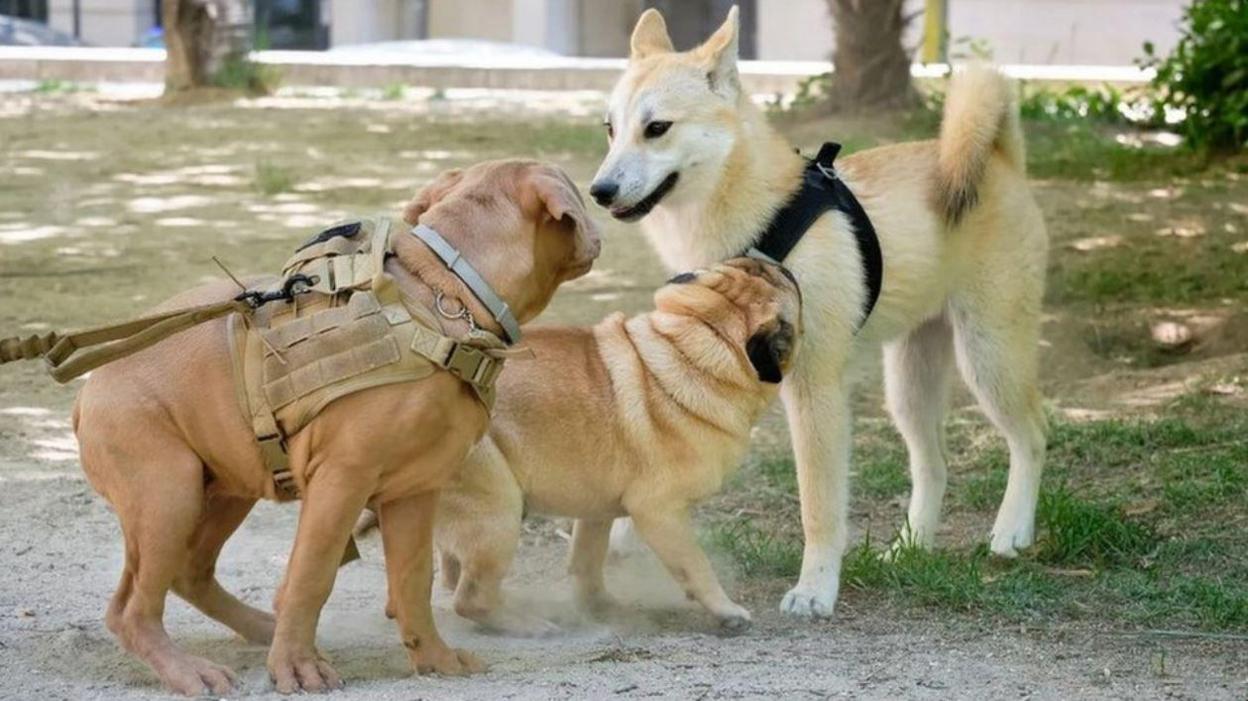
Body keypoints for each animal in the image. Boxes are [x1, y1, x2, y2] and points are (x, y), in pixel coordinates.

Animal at [70, 159, 601, 693]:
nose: (601, 201)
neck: (447, 292)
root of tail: (86, 394)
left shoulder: (414, 490)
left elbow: (413, 580)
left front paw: (434, 658)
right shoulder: (342, 481)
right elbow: (312, 576)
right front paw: (297, 666)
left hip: (224, 490)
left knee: (188, 573)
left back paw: (260, 627)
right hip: (168, 496)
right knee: (133, 609)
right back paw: (189, 670)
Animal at [419, 256, 798, 633]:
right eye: (788, 281)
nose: (774, 260)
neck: (695, 344)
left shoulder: (596, 512)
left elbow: (587, 563)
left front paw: (600, 606)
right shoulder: (661, 513)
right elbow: (695, 565)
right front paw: (726, 610)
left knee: (452, 574)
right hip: (498, 512)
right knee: (471, 598)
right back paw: (530, 624)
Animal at [589, 6, 1048, 616]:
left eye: (657, 128)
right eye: (610, 129)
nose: (599, 189)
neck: (758, 220)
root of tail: (1000, 161)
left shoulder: (814, 387)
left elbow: (819, 506)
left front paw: (815, 588)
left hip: (989, 357)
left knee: (1032, 436)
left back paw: (1011, 533)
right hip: (911, 385)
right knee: (934, 465)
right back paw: (909, 548)